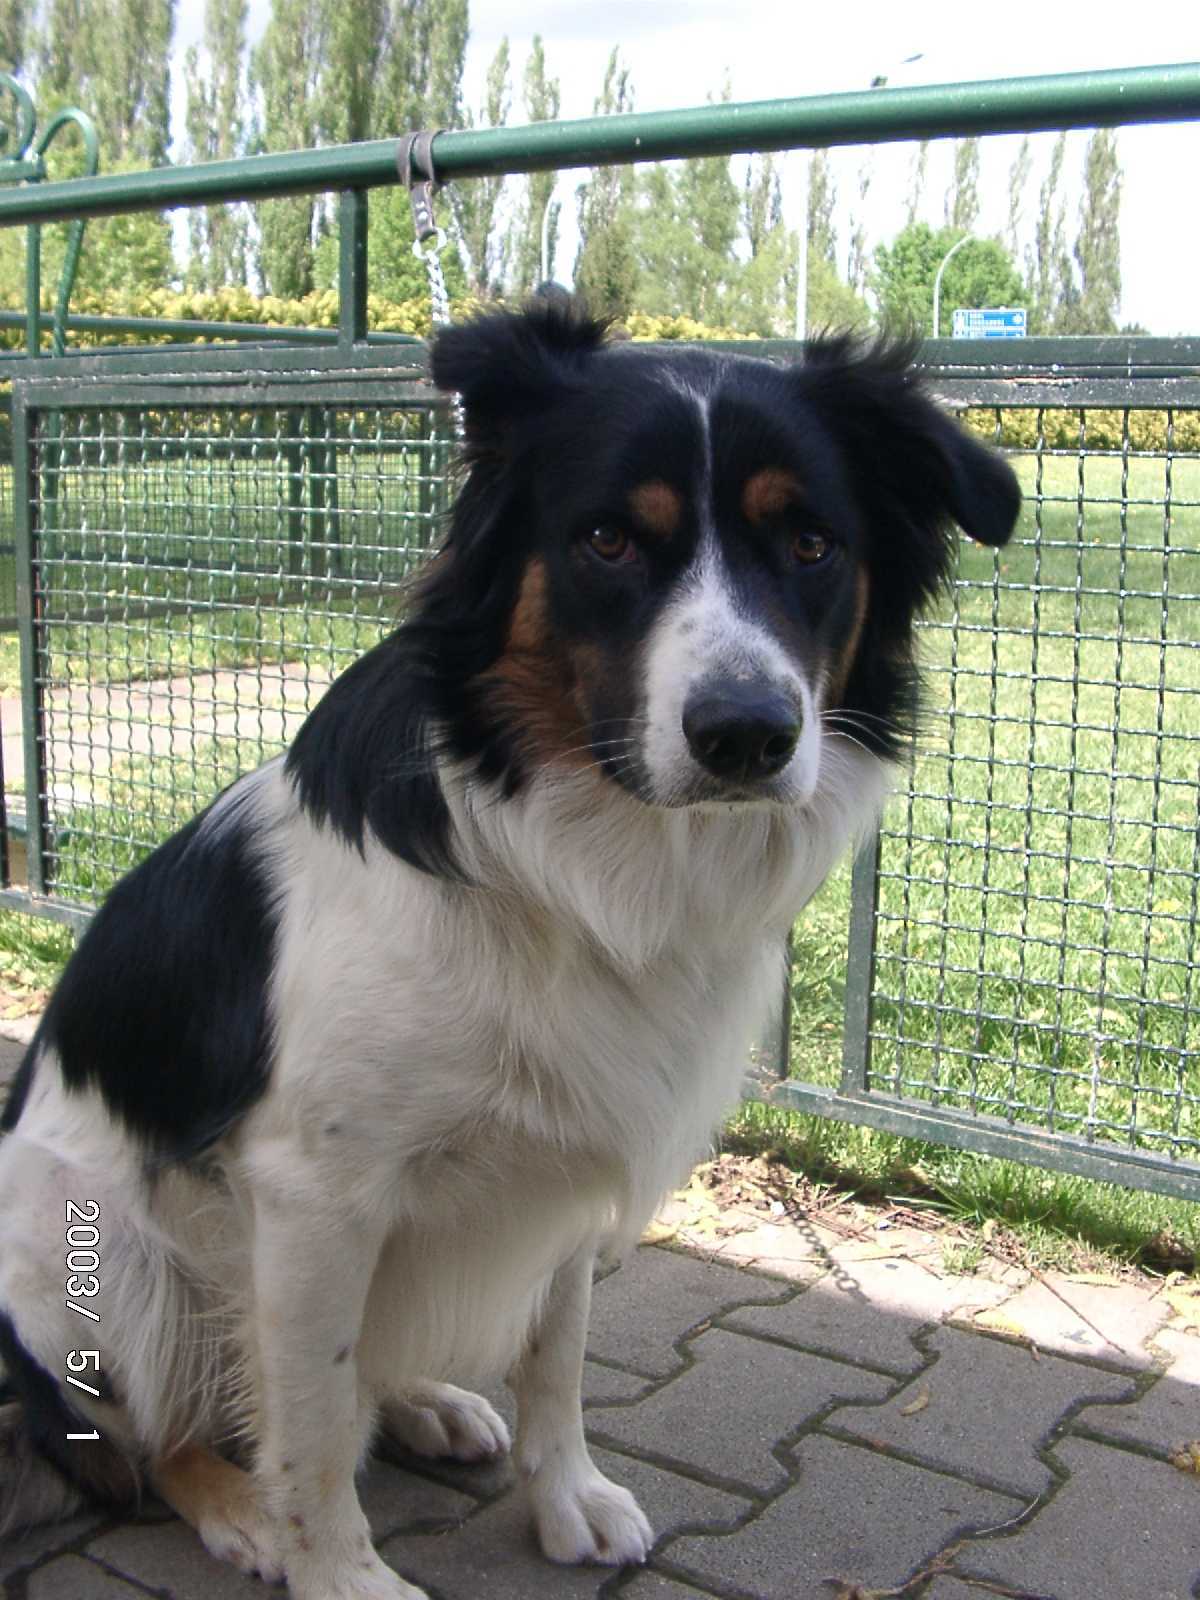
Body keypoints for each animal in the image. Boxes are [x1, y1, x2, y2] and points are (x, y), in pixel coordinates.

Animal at [0, 302, 1017, 1600]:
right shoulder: (313, 1193)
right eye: (607, 539)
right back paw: (235, 1506)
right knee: (145, 1429)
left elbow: (553, 1350)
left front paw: (564, 1496)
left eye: (809, 541)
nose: (747, 735)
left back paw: (426, 1403)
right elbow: (311, 1418)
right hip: (96, 1253)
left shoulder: (571, 1145)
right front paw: (337, 1570)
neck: (591, 855)